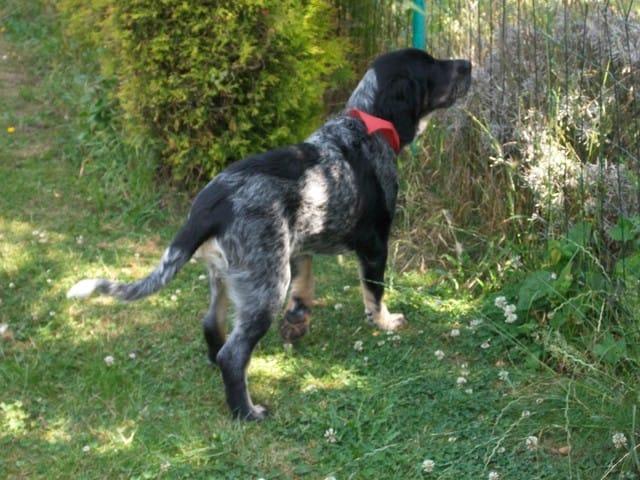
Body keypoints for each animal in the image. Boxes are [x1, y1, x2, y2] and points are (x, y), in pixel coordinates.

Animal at [67, 48, 472, 421]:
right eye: (431, 65)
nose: (468, 64)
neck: (364, 125)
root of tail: (209, 206)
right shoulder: (375, 245)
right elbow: (374, 293)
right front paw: (386, 323)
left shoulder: (298, 240)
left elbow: (306, 281)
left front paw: (297, 319)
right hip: (267, 285)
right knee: (234, 354)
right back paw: (246, 411)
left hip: (228, 274)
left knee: (212, 325)